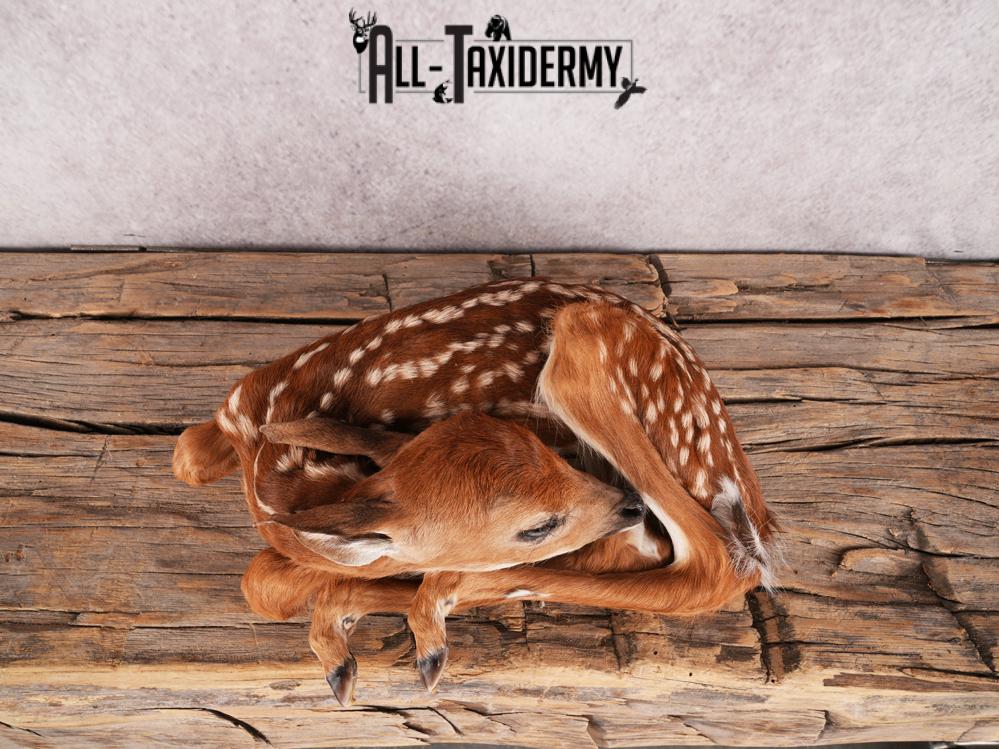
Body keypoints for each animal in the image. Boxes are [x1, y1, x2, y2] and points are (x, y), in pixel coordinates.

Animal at [173, 277, 779, 703]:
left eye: (554, 452)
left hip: (580, 352)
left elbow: (275, 578)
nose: (625, 502)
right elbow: (188, 460)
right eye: (535, 525)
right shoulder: (239, 405)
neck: (276, 478)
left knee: (713, 563)